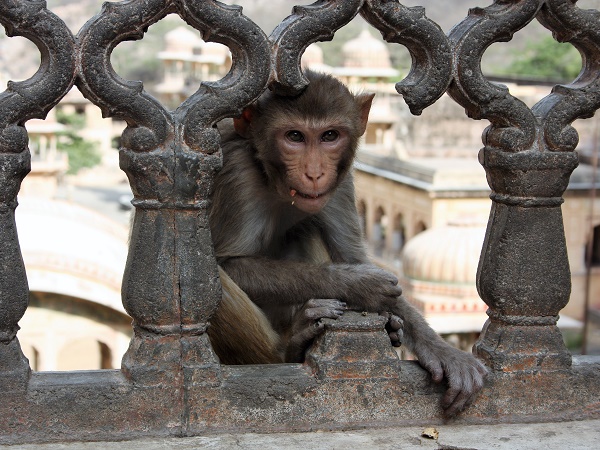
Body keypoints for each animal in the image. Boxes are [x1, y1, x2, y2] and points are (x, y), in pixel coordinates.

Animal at [206, 71, 488, 418]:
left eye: (330, 136)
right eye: (294, 136)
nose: (315, 173)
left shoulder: (341, 182)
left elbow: (353, 256)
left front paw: (440, 349)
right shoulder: (237, 173)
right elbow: (229, 263)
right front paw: (362, 286)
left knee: (307, 227)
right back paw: (288, 347)